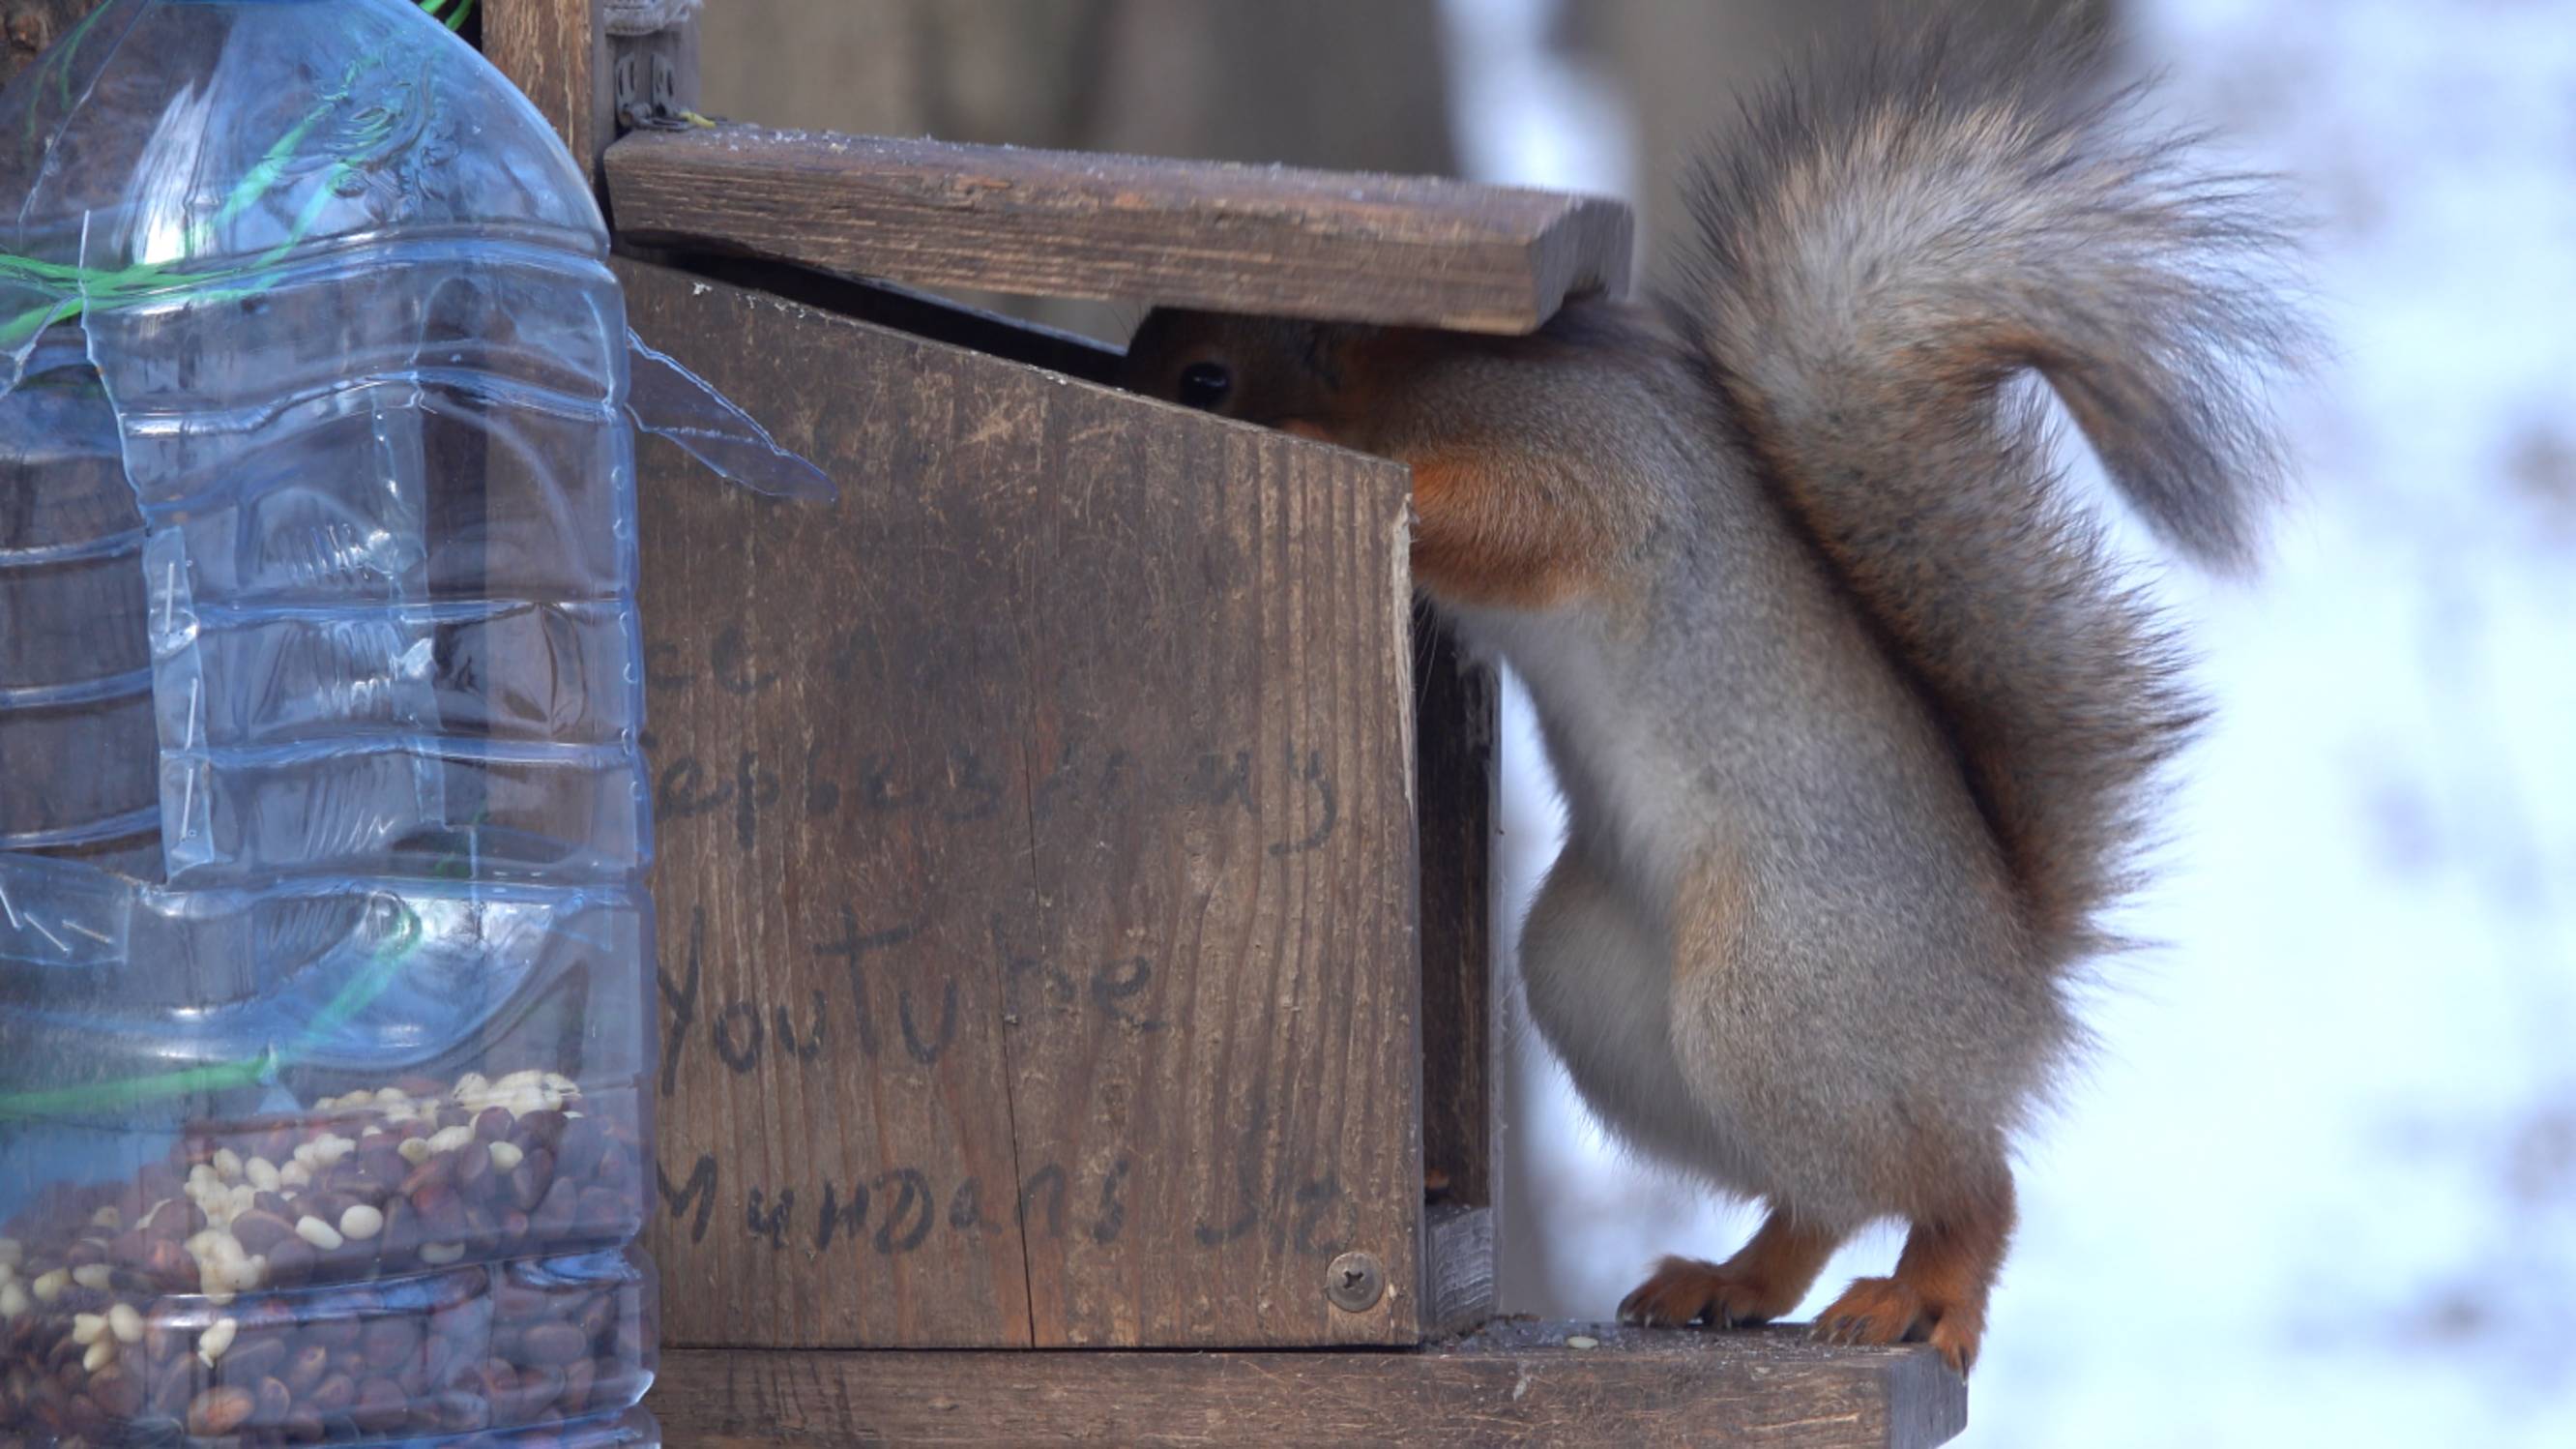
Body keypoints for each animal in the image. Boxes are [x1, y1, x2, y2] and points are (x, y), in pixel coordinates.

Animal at [1118, 11, 2307, 1372]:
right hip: (1598, 985)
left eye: (1207, 378)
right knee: (1823, 1197)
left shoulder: (1572, 457)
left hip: (1782, 995)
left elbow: (1519, 518)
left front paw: (1341, 459)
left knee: (1963, 1178)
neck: (1405, 377)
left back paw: (1927, 1293)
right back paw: (1730, 1280)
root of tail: (2017, 989)